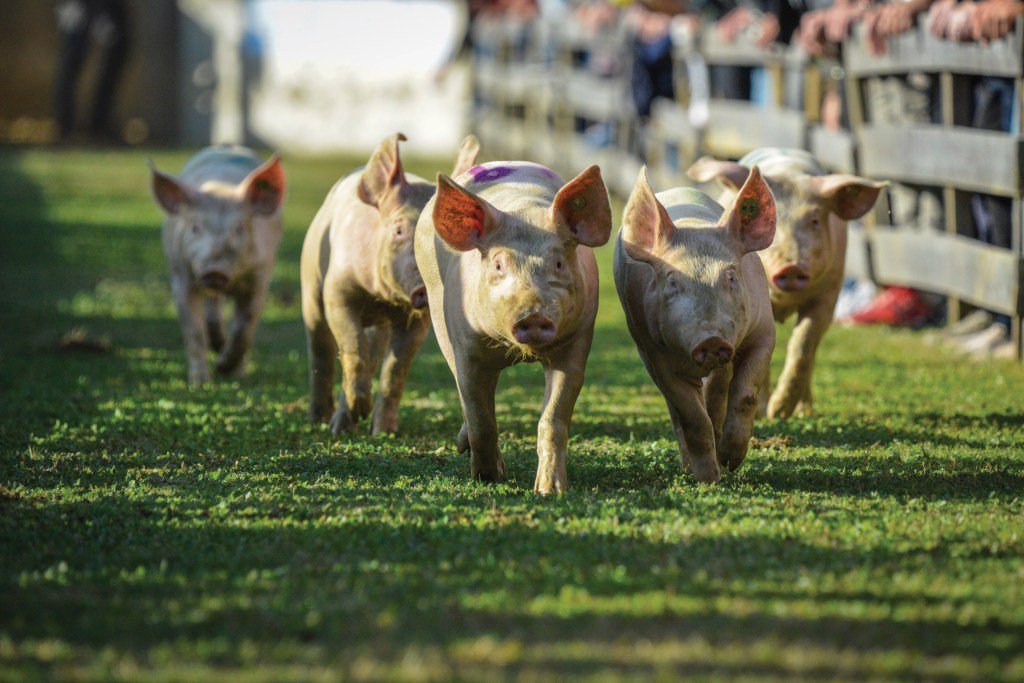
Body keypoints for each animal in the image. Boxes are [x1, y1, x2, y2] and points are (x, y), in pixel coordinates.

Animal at [149, 146, 286, 385]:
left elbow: (244, 328)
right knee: (213, 310)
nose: (214, 272)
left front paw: (224, 368)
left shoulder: (261, 276)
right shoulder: (181, 274)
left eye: (239, 229)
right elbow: (193, 329)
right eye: (195, 227)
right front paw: (200, 382)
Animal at [301, 133, 481, 435]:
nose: (422, 288)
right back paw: (323, 422)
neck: (383, 297)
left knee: (373, 354)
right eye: (398, 230)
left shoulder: (417, 319)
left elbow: (396, 369)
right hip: (310, 285)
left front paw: (384, 432)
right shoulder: (337, 290)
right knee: (321, 348)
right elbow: (352, 344)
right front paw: (358, 413)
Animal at [414, 161, 612, 494]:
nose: (533, 315)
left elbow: (554, 418)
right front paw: (490, 478)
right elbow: (481, 418)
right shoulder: (467, 346)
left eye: (559, 264)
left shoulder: (577, 340)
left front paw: (549, 491)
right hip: (438, 313)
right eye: (498, 265)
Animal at [614, 167, 776, 484]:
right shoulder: (654, 352)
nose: (711, 339)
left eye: (731, 276)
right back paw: (690, 468)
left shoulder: (764, 332)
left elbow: (746, 394)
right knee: (679, 412)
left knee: (717, 392)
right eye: (672, 281)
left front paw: (731, 462)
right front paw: (708, 479)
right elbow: (691, 416)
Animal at [687, 148, 886, 419]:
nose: (791, 267)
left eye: (814, 220)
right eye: (772, 223)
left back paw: (805, 411)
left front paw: (780, 412)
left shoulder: (829, 293)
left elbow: (803, 344)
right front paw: (765, 414)